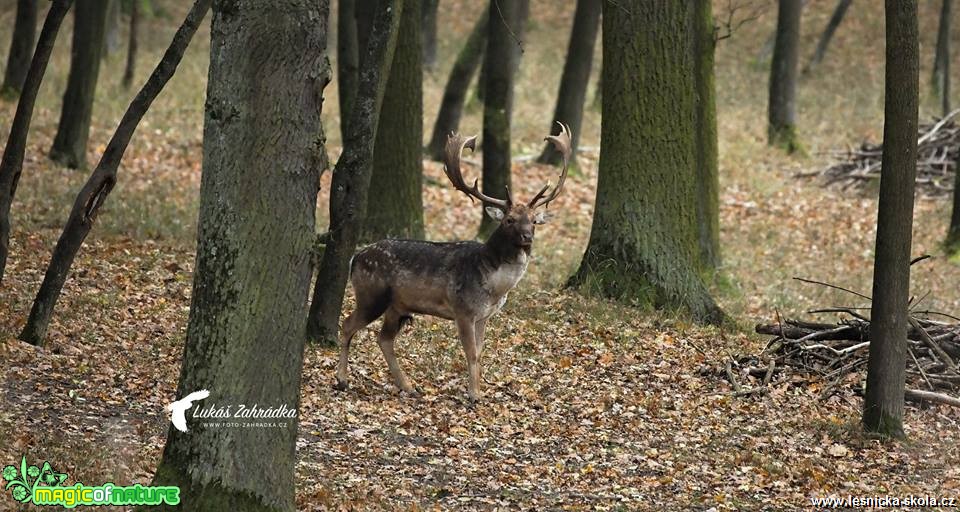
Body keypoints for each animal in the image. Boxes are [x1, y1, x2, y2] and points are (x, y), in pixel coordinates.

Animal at [336, 123, 568, 400]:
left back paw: (408, 386)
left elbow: (481, 351)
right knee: (348, 325)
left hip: (397, 305)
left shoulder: (484, 316)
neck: (494, 287)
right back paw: (342, 381)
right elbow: (471, 353)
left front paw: (479, 391)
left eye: (533, 221)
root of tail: (355, 258)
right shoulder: (463, 310)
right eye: (509, 220)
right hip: (372, 294)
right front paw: (474, 395)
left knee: (384, 338)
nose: (527, 237)